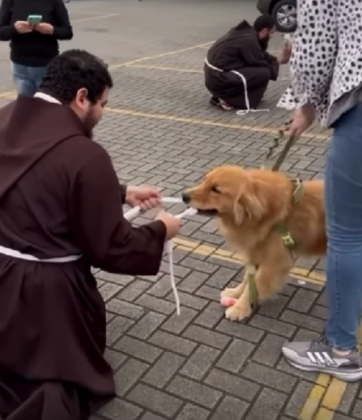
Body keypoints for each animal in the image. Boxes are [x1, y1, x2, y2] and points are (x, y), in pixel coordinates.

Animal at [182, 167, 326, 322]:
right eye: (204, 181)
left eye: (215, 189)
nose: (183, 195)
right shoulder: (257, 250)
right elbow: (248, 279)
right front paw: (235, 293)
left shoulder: (274, 262)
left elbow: (255, 285)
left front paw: (239, 309)